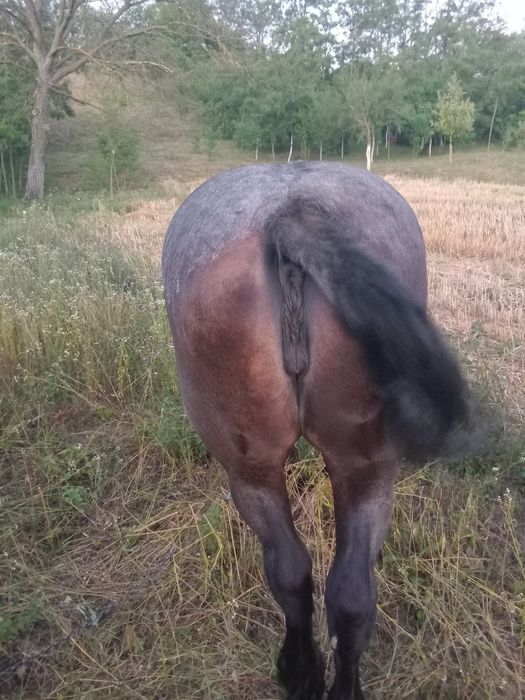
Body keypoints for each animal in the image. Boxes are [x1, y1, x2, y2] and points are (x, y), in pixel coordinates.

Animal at [162, 161, 467, 700]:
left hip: (253, 469)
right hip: (359, 466)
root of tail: (292, 216)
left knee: (296, 574)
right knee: (343, 589)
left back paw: (300, 670)